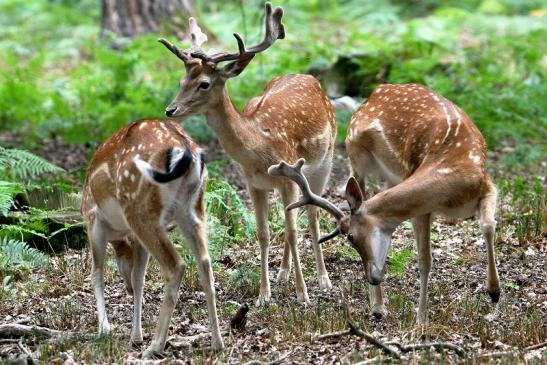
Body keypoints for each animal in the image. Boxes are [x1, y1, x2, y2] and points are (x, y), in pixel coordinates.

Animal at [79, 118, 225, 356]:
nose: (126, 288)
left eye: (120, 259)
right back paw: (217, 343)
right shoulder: (135, 240)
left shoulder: (93, 220)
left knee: (176, 265)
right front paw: (135, 336)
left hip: (139, 208)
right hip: (192, 207)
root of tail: (186, 149)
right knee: (204, 263)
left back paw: (155, 346)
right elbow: (139, 278)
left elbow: (96, 274)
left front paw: (104, 330)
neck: (119, 235)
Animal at [159, 3, 338, 304]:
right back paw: (283, 275)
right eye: (182, 80)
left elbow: (292, 231)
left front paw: (303, 294)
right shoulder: (254, 184)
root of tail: (310, 78)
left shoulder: (289, 178)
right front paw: (264, 295)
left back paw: (324, 279)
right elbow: (263, 233)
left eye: (204, 83)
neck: (258, 150)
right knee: (292, 217)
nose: (171, 110)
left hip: (325, 162)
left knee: (312, 215)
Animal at [270, 83, 500, 324]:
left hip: (392, 176)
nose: (371, 277)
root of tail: (374, 93)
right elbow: (425, 260)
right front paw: (421, 318)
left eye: (350, 236)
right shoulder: (422, 208)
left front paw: (494, 293)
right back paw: (378, 306)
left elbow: (488, 226)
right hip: (355, 154)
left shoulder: (488, 186)